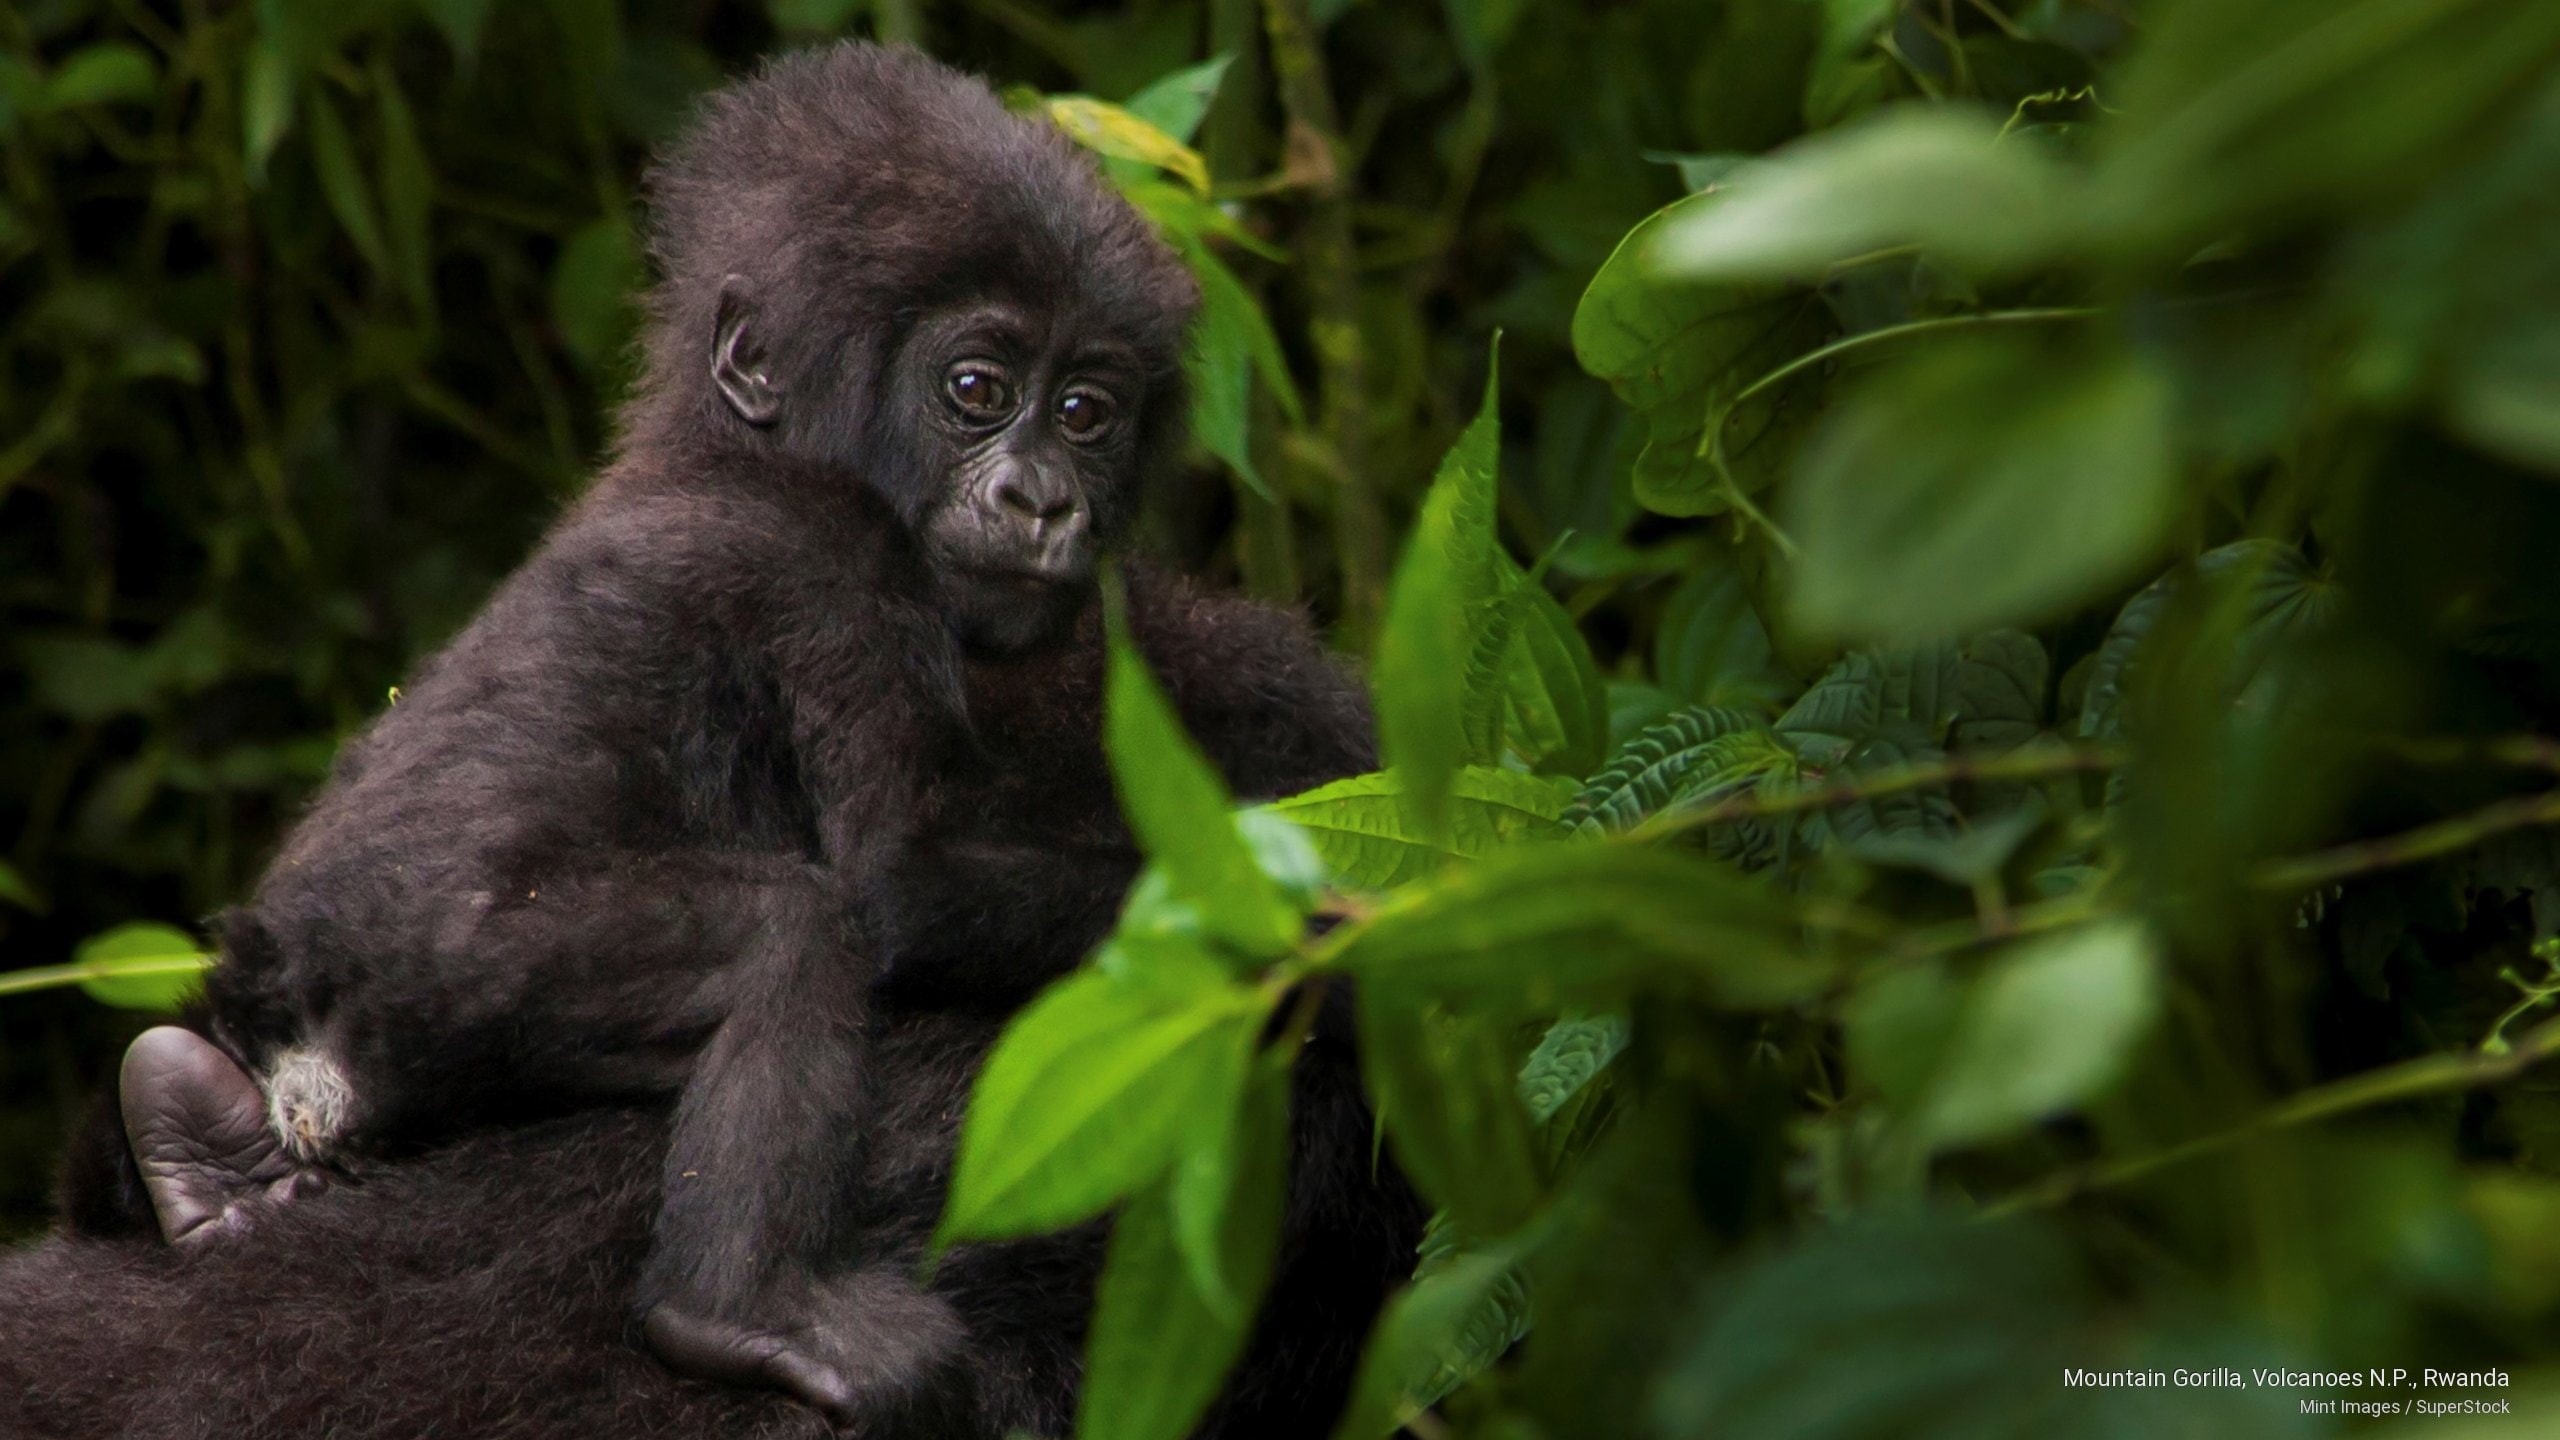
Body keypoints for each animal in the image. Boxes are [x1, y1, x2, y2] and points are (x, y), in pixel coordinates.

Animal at [41, 41, 1411, 1428]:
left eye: (1087, 411)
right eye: (976, 391)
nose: (1042, 501)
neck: (716, 443)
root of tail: (293, 1023)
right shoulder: (833, 556)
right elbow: (898, 864)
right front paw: (1329, 924)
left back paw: (199, 1157)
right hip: (447, 972)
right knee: (791, 938)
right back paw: (732, 1313)